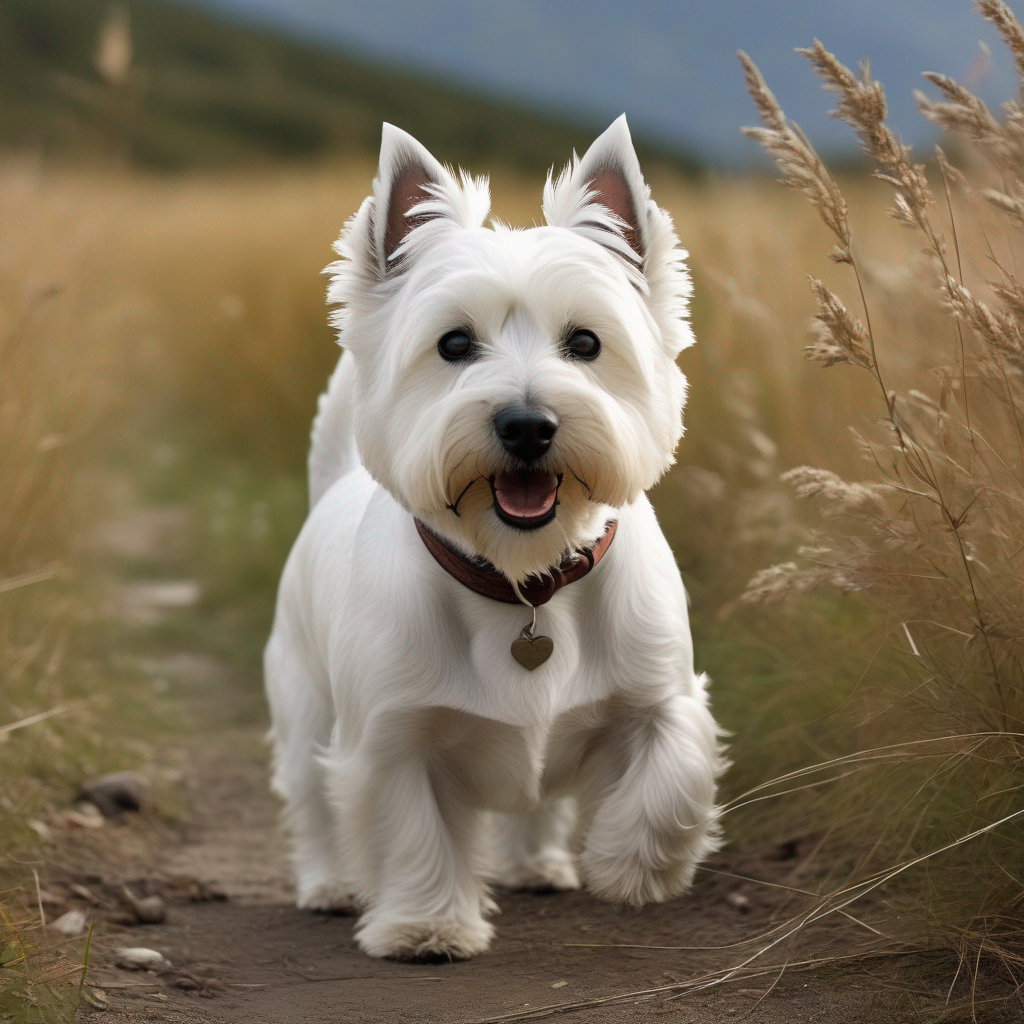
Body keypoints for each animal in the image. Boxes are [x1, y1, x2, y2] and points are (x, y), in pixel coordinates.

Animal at [266, 117, 729, 958]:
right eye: (453, 345)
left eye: (586, 343)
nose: (527, 426)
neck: (523, 582)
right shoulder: (393, 736)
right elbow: (412, 831)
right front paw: (425, 925)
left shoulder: (663, 695)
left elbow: (671, 777)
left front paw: (635, 866)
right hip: (304, 700)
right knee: (312, 801)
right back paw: (329, 885)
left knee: (537, 802)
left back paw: (538, 864)